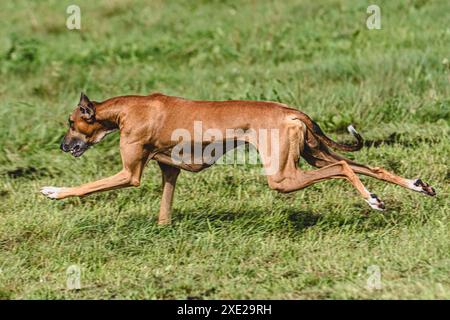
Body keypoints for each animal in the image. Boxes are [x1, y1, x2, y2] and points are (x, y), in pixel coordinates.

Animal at [42, 91, 436, 224]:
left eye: (71, 122)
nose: (62, 146)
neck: (126, 110)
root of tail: (291, 111)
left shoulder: (129, 174)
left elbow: (85, 187)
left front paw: (53, 192)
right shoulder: (170, 171)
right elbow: (164, 213)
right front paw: (162, 229)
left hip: (282, 177)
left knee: (342, 167)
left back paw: (373, 201)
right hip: (314, 155)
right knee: (370, 166)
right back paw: (418, 187)